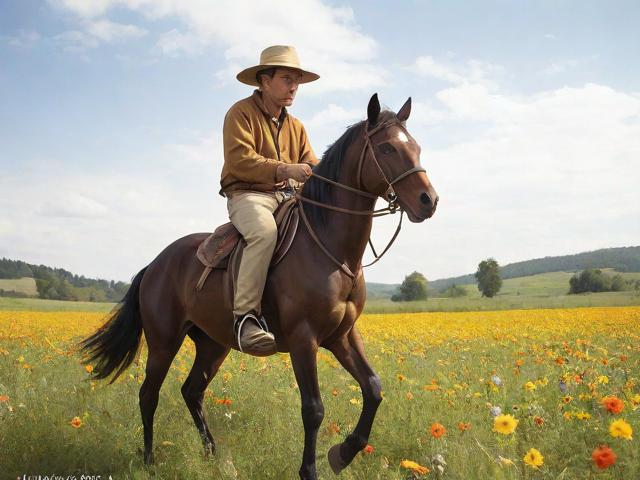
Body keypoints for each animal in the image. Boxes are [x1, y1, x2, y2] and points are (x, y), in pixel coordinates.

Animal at [79, 93, 438, 480]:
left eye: (416, 146)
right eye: (387, 148)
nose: (428, 201)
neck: (328, 247)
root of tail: (154, 265)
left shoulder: (342, 335)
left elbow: (373, 388)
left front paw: (342, 453)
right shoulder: (303, 338)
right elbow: (313, 409)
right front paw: (310, 469)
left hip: (213, 344)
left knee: (192, 391)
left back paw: (212, 454)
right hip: (163, 342)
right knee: (149, 394)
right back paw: (149, 459)